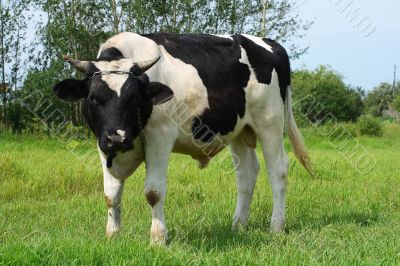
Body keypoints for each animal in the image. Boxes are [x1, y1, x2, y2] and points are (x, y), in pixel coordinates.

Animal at [53, 32, 310, 244]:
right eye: (94, 98)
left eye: (134, 98)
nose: (117, 139)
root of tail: (269, 43)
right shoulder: (102, 143)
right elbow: (111, 194)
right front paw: (112, 235)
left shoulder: (160, 136)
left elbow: (153, 192)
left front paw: (158, 238)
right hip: (240, 129)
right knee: (246, 174)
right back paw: (238, 225)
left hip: (270, 122)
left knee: (278, 170)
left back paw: (276, 227)